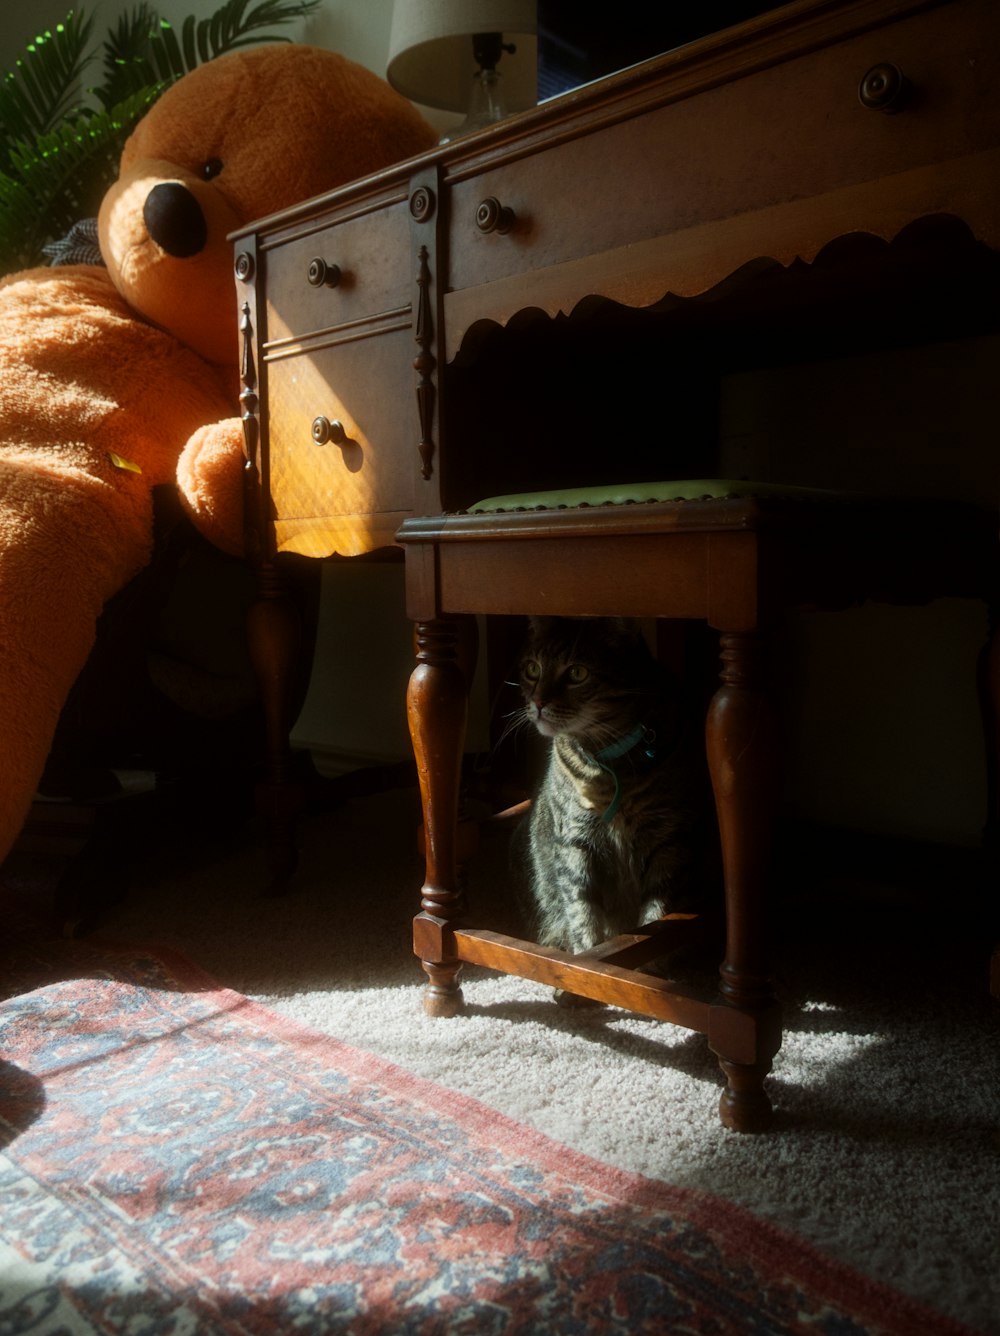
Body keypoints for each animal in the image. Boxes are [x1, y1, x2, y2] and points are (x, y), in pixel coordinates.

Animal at [515, 619, 699, 956]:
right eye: (532, 669)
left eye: (577, 673)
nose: (537, 703)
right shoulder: (574, 840)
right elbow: (581, 911)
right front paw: (586, 958)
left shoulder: (667, 839)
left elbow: (657, 915)